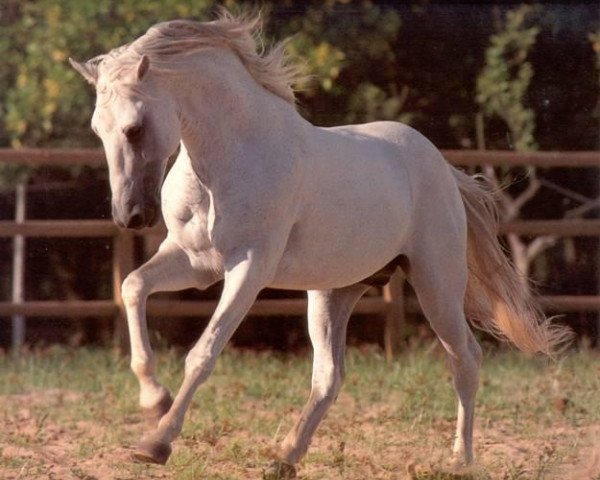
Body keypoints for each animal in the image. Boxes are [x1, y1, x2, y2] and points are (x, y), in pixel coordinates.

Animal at [69, 9, 568, 478]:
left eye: (134, 128)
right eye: (96, 130)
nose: (130, 216)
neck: (231, 156)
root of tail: (444, 169)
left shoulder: (248, 267)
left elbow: (203, 352)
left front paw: (156, 443)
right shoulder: (195, 263)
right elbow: (132, 287)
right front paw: (153, 399)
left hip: (436, 285)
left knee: (465, 357)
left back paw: (459, 459)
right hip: (334, 291)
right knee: (330, 376)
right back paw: (284, 458)